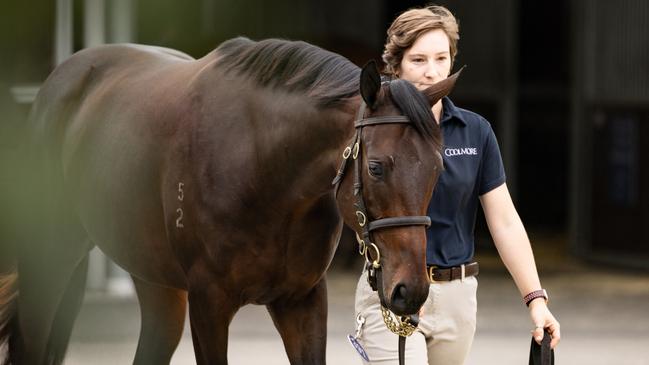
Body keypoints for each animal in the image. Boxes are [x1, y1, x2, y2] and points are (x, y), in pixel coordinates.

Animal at [0, 37, 458, 364]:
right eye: (377, 168)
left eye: (438, 168)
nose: (410, 291)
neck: (264, 167)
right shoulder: (209, 303)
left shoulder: (303, 301)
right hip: (50, 262)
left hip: (157, 281)